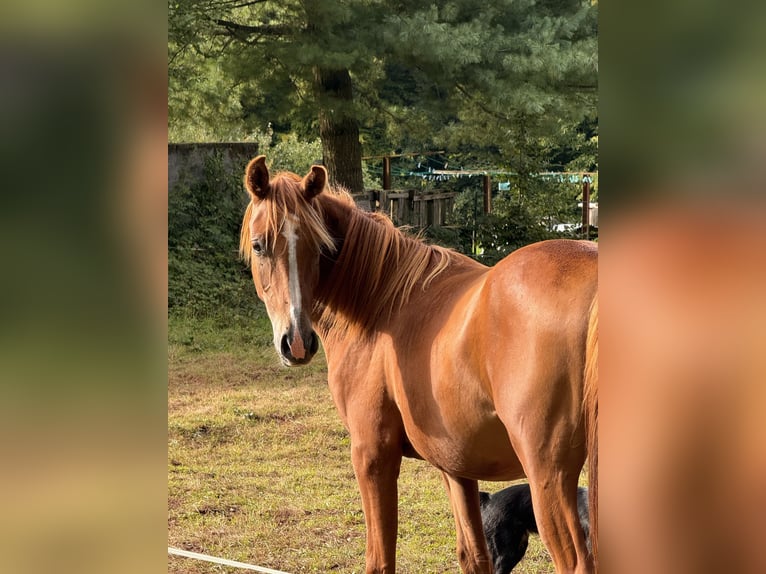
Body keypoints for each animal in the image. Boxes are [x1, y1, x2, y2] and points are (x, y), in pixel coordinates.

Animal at [239, 156, 598, 574]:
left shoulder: (372, 454)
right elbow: (473, 556)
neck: (381, 306)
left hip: (549, 477)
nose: (296, 341)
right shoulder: (456, 466)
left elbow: (380, 560)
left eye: (320, 246)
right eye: (260, 245)